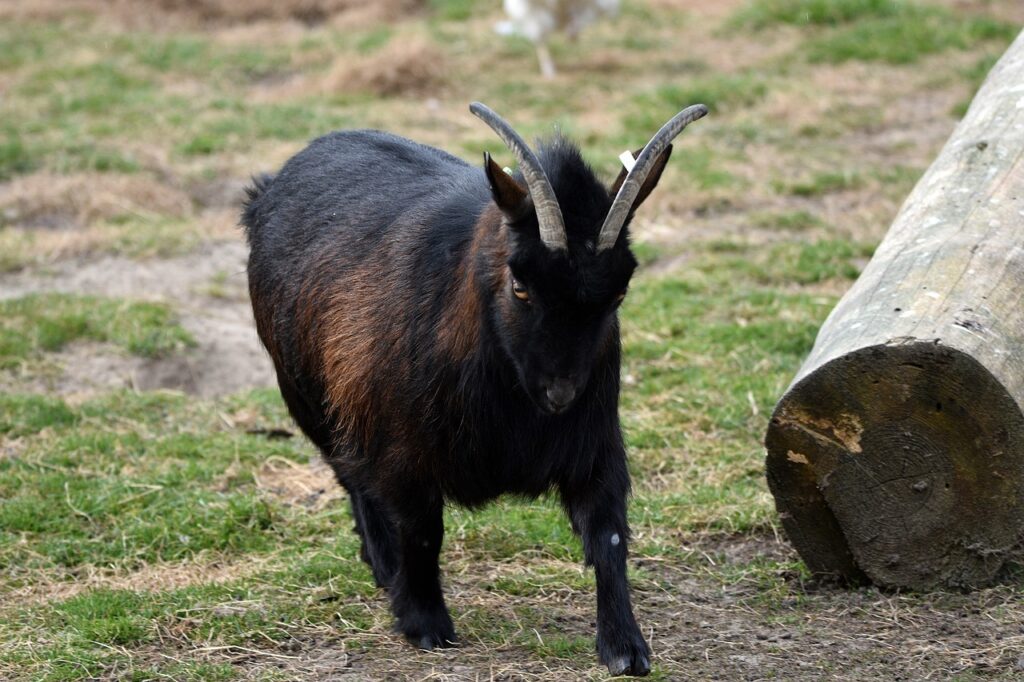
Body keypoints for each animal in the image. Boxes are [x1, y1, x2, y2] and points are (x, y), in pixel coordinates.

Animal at [242, 102, 707, 676]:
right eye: (521, 286)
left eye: (618, 292)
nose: (559, 393)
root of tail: (270, 185)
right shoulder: (402, 449)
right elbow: (422, 530)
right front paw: (425, 624)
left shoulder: (595, 443)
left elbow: (608, 536)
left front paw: (626, 648)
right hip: (308, 395)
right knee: (349, 473)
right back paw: (385, 565)